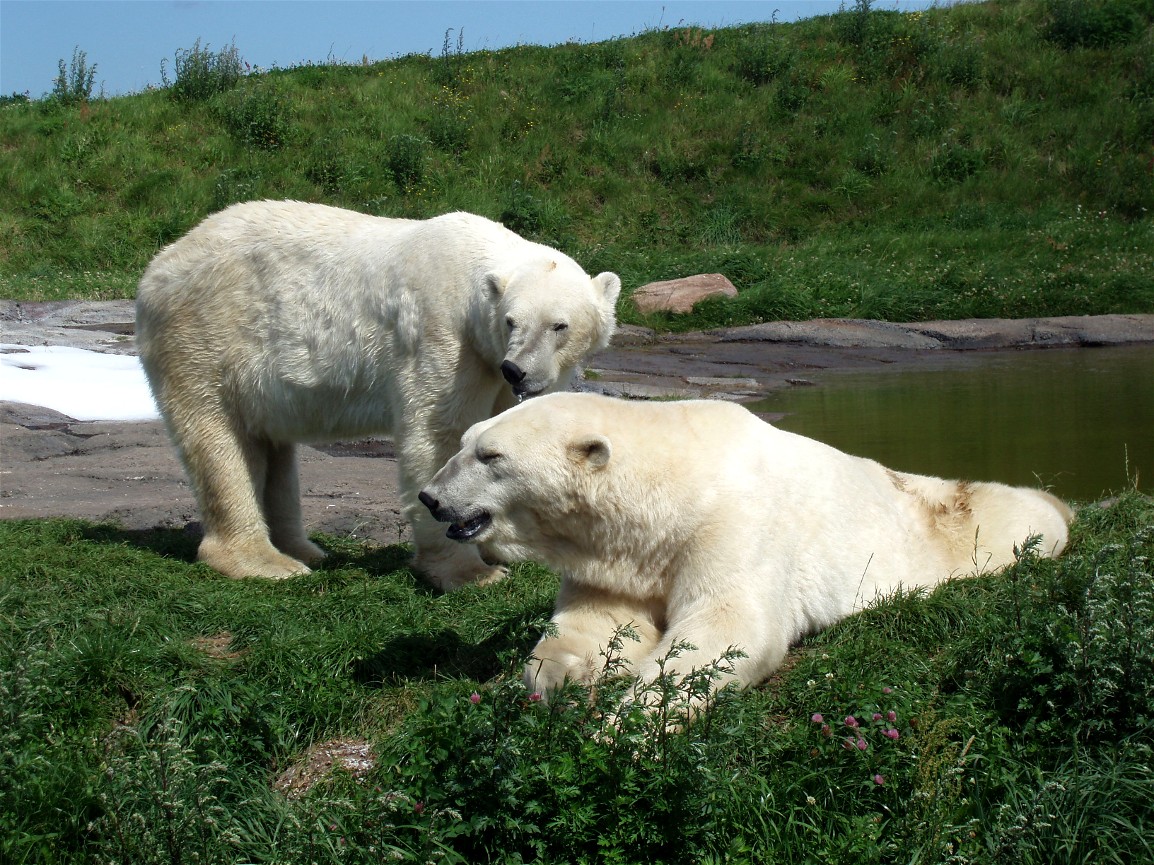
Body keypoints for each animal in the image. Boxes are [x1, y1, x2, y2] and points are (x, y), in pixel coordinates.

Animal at [135, 201, 620, 590]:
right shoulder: (444, 335)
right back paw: (265, 562)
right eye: (511, 321)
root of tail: (158, 266)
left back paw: (304, 550)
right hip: (206, 338)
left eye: (560, 325)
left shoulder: (490, 367)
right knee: (219, 440)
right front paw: (470, 573)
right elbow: (437, 435)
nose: (516, 369)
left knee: (271, 443)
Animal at [418, 391, 1073, 705]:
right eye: (467, 443)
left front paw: (630, 722)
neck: (671, 490)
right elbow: (597, 621)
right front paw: (555, 676)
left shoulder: (735, 524)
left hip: (972, 529)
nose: (430, 497)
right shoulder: (620, 557)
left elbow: (729, 628)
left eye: (490, 456)